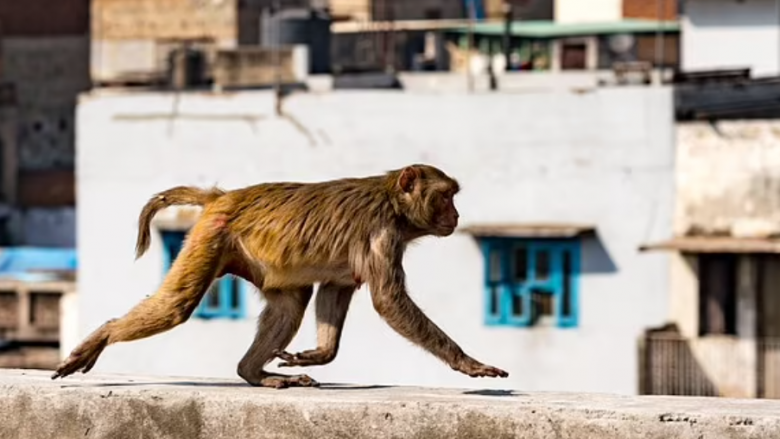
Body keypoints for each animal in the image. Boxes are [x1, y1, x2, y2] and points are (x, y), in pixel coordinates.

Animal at [51, 164, 508, 388]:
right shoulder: (382, 233)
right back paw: (104, 335)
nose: (456, 216)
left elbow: (336, 289)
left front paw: (318, 354)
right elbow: (388, 300)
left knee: (291, 302)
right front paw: (466, 362)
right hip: (213, 235)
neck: (392, 203)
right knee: (175, 306)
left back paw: (252, 373)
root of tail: (223, 196)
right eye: (445, 196)